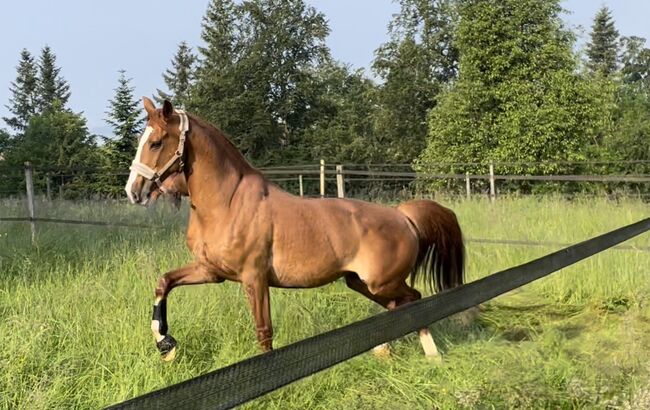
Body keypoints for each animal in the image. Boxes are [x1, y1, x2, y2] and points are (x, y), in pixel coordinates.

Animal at [125, 97, 460, 360]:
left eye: (155, 143)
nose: (133, 191)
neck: (227, 204)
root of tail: (402, 217)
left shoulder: (254, 278)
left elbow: (264, 332)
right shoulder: (211, 271)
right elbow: (164, 282)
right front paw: (165, 344)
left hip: (381, 282)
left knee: (413, 298)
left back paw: (429, 354)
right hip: (360, 282)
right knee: (399, 305)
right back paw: (387, 350)